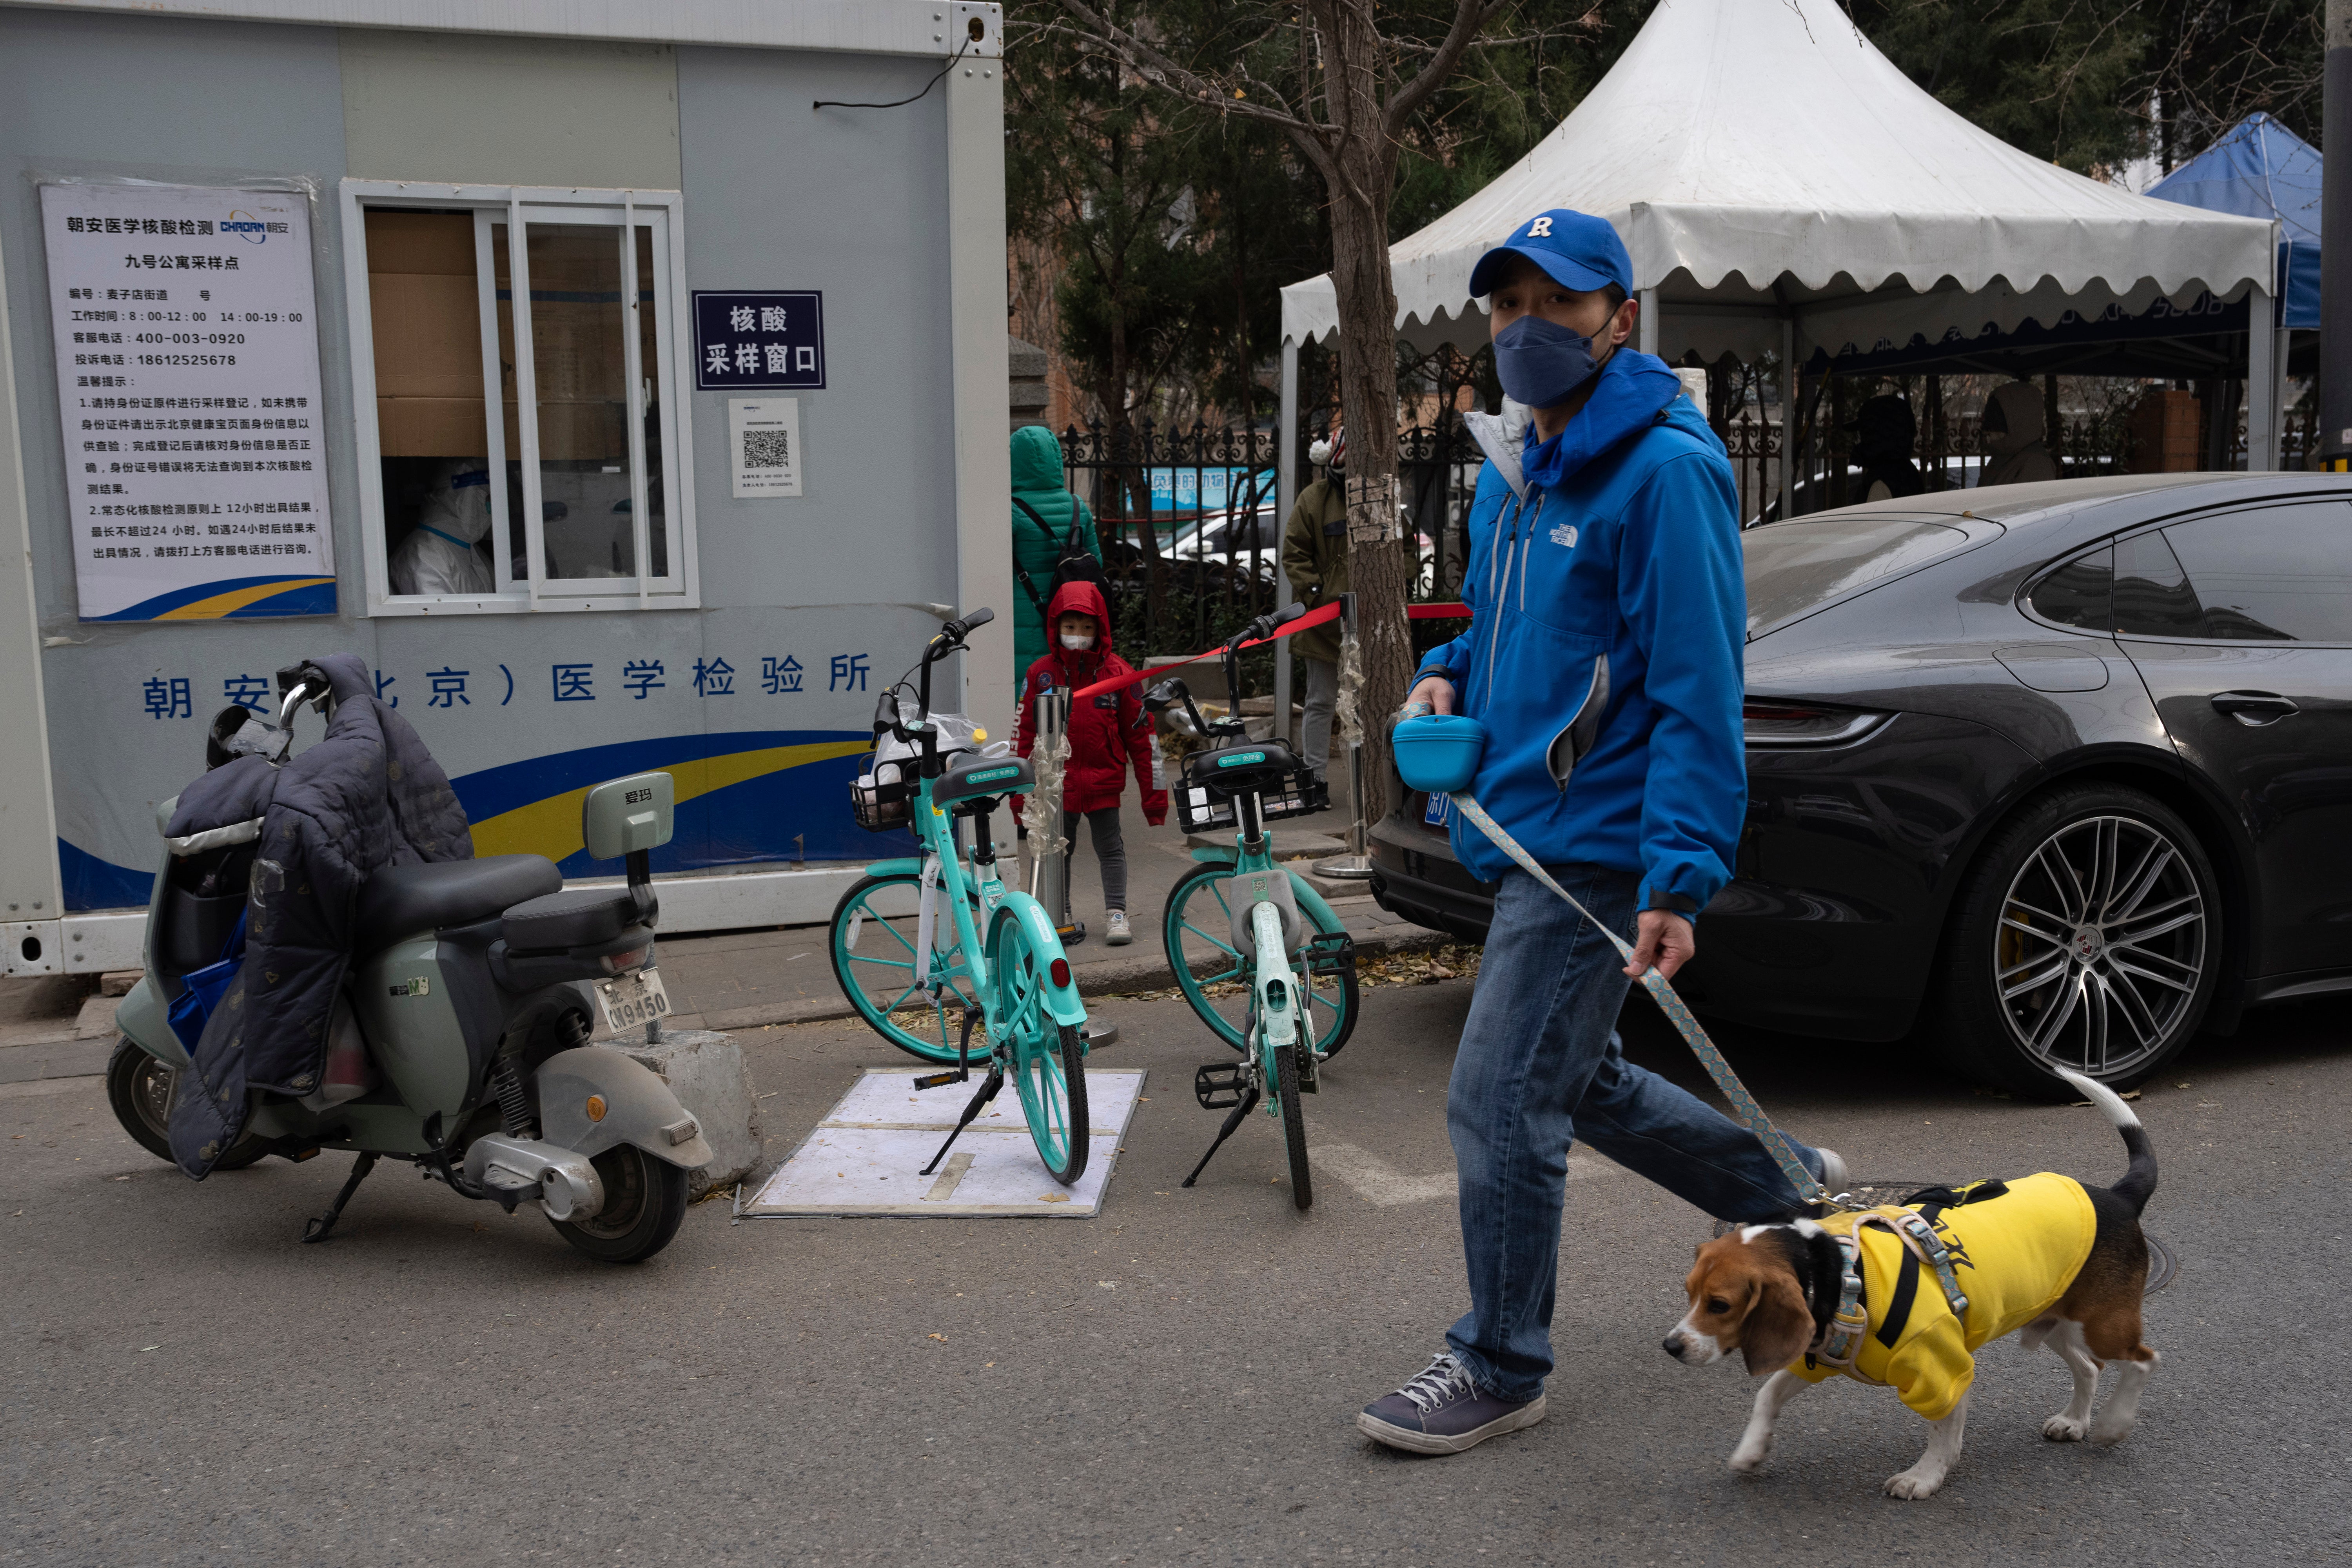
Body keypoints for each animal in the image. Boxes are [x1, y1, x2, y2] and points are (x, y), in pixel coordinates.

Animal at [1665, 1072, 2154, 1504]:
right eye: (1689, 1293)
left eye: (1721, 1305)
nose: (1671, 1346)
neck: (1841, 1271)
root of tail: (2117, 1196)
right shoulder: (1813, 1358)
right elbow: (1767, 1395)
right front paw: (1752, 1450)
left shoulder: (1943, 1369)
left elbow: (1941, 1431)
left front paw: (1924, 1476)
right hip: (2057, 1320)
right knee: (2090, 1367)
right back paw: (2075, 1421)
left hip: (2101, 1324)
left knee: (2143, 1360)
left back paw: (2113, 1424)